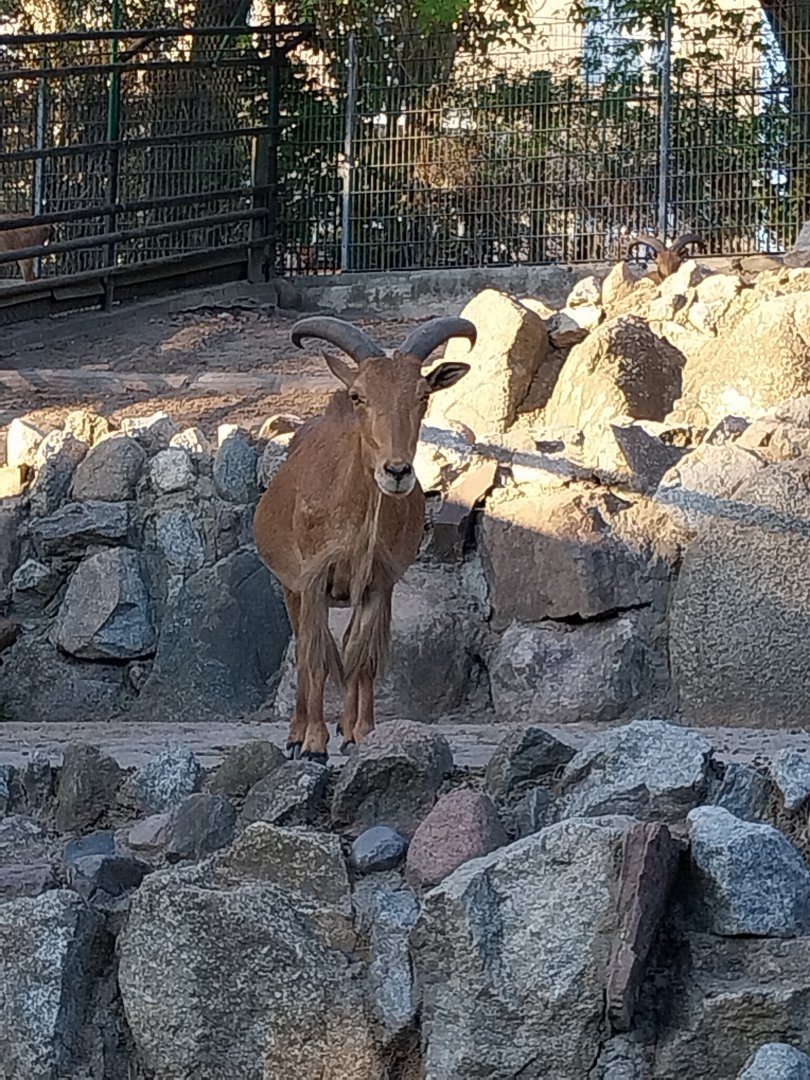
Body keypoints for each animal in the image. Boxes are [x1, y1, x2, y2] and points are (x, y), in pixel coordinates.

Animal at [253, 314, 476, 762]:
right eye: (359, 396)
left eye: (423, 395)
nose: (397, 471)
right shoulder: (313, 580)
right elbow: (315, 657)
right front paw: (314, 743)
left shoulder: (379, 582)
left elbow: (361, 655)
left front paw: (361, 734)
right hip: (288, 586)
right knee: (303, 647)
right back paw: (296, 733)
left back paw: (345, 726)